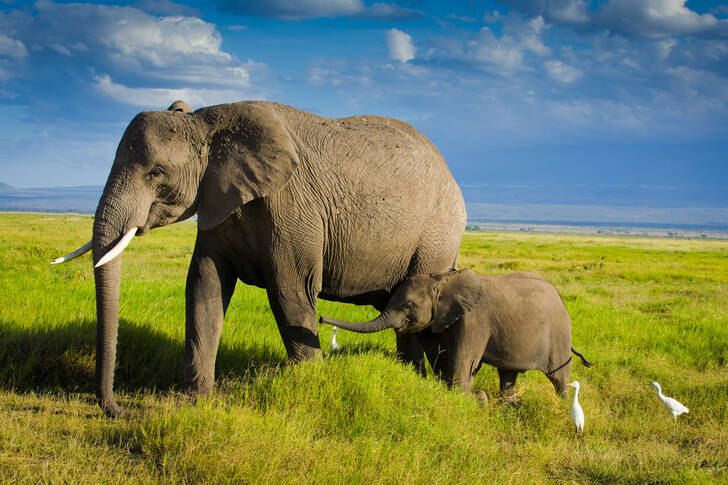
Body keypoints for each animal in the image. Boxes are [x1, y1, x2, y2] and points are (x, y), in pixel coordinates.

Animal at [52, 100, 466, 417]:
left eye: (157, 172)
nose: (120, 409)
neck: (206, 121)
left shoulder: (292, 203)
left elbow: (290, 292)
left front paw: (309, 388)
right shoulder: (216, 201)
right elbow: (204, 286)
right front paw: (195, 402)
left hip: (436, 234)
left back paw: (418, 381)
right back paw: (414, 378)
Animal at [320, 269, 592, 399]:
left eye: (408, 305)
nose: (321, 318)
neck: (441, 279)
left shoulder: (473, 319)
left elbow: (462, 360)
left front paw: (465, 398)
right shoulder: (440, 319)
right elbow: (441, 358)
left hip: (559, 334)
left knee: (559, 377)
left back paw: (562, 408)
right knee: (508, 375)